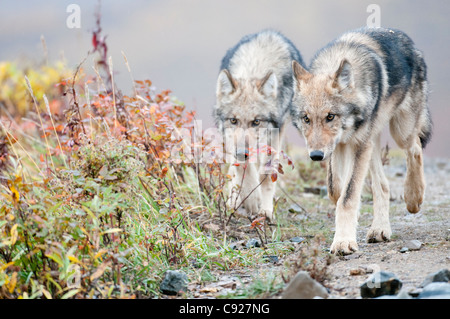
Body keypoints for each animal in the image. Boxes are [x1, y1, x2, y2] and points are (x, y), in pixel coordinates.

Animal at [214, 29, 306, 220]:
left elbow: (266, 174)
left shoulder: (275, 134)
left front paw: (265, 210)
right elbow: (242, 168)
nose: (241, 152)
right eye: (233, 120)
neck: (254, 67)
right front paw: (251, 199)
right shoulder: (232, 138)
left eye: (256, 121)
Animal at [292, 28, 432, 258]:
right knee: (382, 186)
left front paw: (343, 242)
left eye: (330, 116)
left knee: (415, 148)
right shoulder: (339, 145)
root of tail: (408, 41)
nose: (315, 156)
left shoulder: (357, 144)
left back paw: (413, 198)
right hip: (371, 141)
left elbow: (347, 197)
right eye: (306, 119)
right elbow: (335, 190)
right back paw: (380, 229)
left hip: (399, 131)